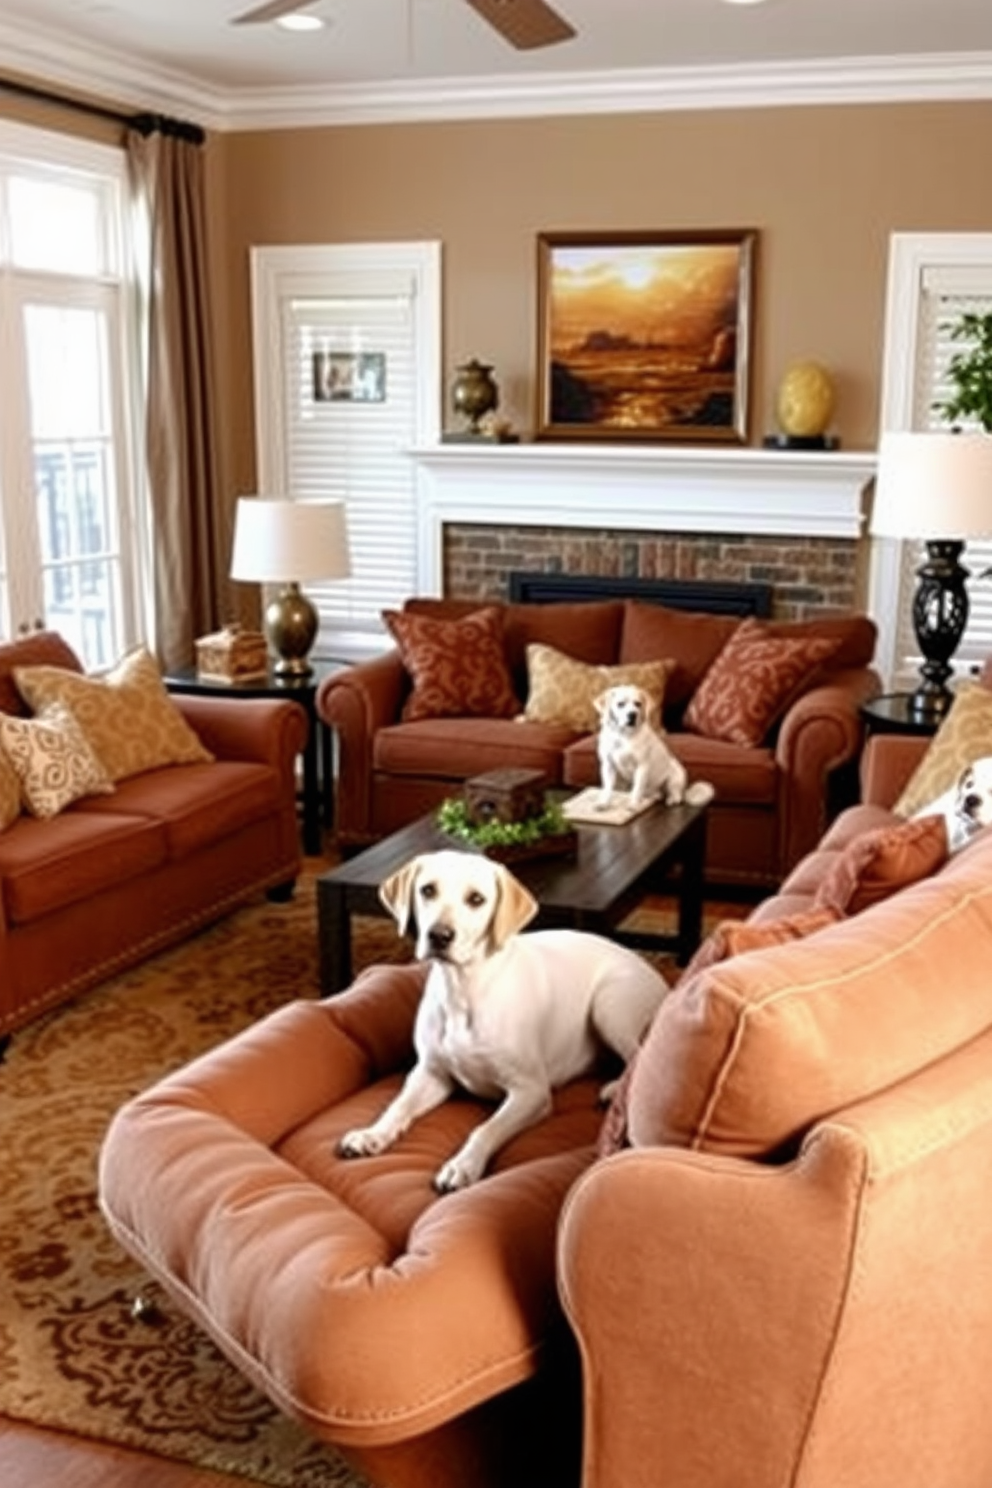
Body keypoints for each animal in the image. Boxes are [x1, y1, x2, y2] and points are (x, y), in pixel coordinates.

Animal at [337, 857, 672, 1190]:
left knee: (638, 1054)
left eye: (476, 899)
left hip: (608, 1005)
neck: (463, 990)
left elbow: (487, 1128)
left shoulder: (531, 1092)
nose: (439, 935)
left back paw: (614, 1089)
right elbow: (398, 1106)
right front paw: (372, 1134)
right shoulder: (431, 1073)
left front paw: (463, 1165)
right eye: (427, 890)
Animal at [594, 684, 716, 815]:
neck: (623, 736)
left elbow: (637, 789)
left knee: (676, 796)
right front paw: (603, 803)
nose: (633, 714)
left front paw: (633, 805)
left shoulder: (641, 766)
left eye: (638, 704)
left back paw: (671, 799)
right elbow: (607, 789)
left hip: (675, 776)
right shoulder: (608, 766)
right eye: (620, 704)